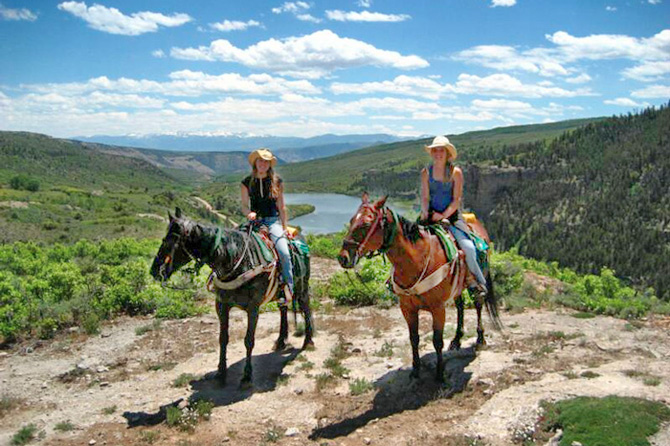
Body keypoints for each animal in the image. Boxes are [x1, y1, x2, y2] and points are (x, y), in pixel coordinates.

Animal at [151, 207, 314, 386]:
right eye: (163, 239)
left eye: (169, 241)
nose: (154, 270)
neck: (237, 260)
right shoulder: (221, 305)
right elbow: (223, 338)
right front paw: (221, 372)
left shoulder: (253, 308)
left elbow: (249, 340)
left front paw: (247, 376)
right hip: (280, 292)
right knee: (283, 309)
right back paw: (280, 341)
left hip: (301, 286)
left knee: (306, 306)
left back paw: (308, 341)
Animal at [338, 193, 502, 382]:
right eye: (351, 220)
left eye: (365, 224)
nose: (342, 257)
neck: (417, 260)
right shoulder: (407, 308)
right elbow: (413, 338)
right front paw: (415, 370)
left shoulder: (438, 309)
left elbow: (437, 341)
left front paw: (439, 374)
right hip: (457, 288)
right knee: (460, 306)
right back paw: (456, 340)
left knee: (478, 304)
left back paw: (480, 339)